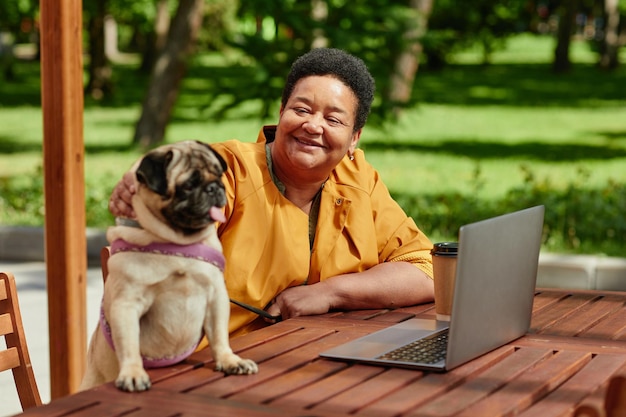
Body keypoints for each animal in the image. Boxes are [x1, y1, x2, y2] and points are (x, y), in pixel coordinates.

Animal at [80, 140, 256, 390]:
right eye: (188, 185)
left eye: (218, 176)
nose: (214, 188)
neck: (176, 244)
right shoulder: (126, 305)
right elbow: (129, 345)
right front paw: (133, 373)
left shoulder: (216, 297)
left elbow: (220, 336)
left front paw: (229, 361)